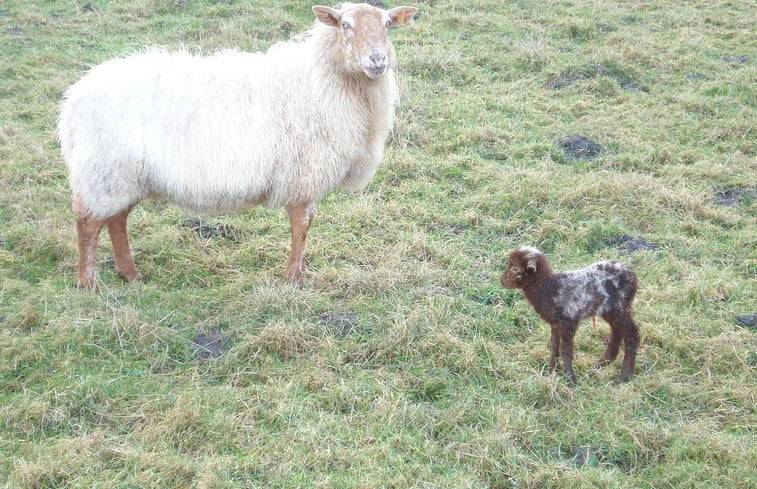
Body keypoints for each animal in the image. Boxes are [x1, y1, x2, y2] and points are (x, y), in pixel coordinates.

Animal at [56, 2, 416, 290]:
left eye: (387, 24)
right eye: (345, 25)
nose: (377, 60)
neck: (321, 78)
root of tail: (73, 99)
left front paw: (296, 275)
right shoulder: (303, 174)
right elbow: (301, 227)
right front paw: (293, 280)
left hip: (122, 175)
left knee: (116, 220)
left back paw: (131, 274)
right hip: (105, 169)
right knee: (88, 223)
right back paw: (89, 283)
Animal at [502, 246, 636, 384]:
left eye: (515, 269)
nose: (501, 281)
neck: (549, 288)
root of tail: (631, 273)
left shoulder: (568, 321)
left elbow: (565, 350)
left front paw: (570, 379)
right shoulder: (555, 323)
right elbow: (554, 345)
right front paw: (552, 370)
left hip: (619, 306)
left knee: (632, 333)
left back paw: (624, 375)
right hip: (609, 310)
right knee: (617, 331)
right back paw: (602, 362)